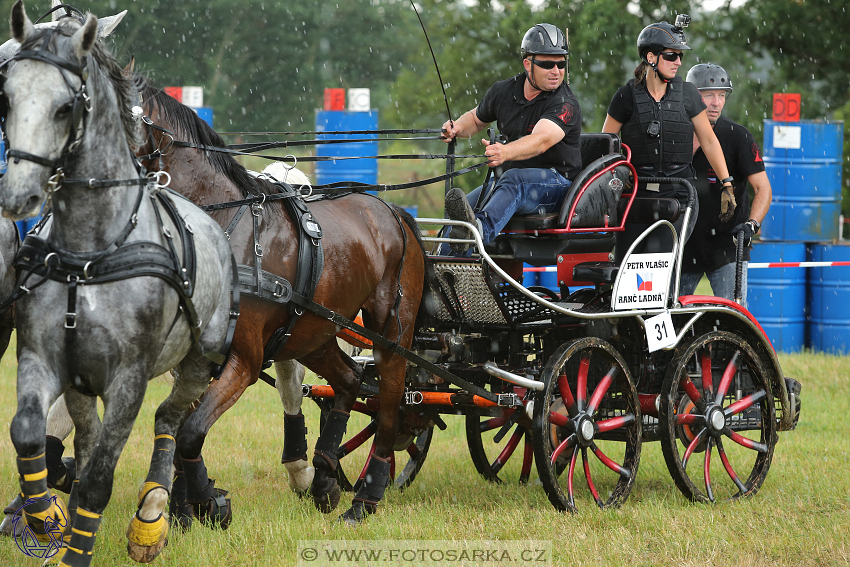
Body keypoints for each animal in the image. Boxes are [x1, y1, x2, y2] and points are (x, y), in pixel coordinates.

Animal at [0, 3, 235, 564]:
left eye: (66, 107)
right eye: (7, 96)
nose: (18, 196)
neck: (90, 255)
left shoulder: (129, 377)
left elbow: (100, 480)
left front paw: (80, 543)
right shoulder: (43, 359)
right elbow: (29, 435)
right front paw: (44, 518)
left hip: (198, 360)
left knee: (171, 421)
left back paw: (153, 513)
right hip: (85, 382)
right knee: (89, 435)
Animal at [140, 83, 430, 524]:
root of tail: (394, 211)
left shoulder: (244, 360)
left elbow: (189, 432)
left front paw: (208, 502)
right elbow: (177, 426)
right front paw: (183, 506)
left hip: (391, 331)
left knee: (390, 400)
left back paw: (366, 496)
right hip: (314, 331)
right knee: (350, 380)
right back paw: (325, 476)